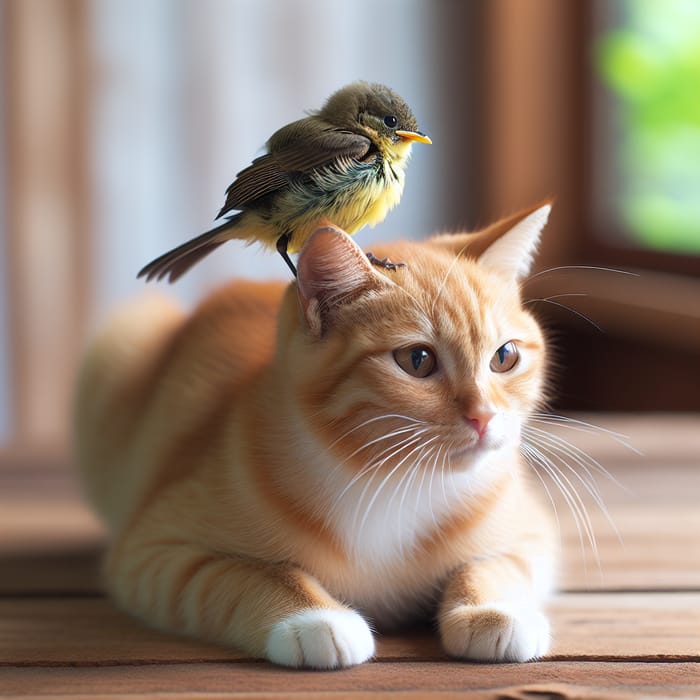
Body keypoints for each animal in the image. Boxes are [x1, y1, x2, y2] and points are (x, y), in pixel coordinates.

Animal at [75, 201, 556, 668]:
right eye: (418, 360)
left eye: (505, 356)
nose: (484, 416)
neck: (391, 479)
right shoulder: (153, 551)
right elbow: (251, 573)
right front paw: (315, 619)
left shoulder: (532, 533)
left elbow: (494, 565)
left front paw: (494, 610)